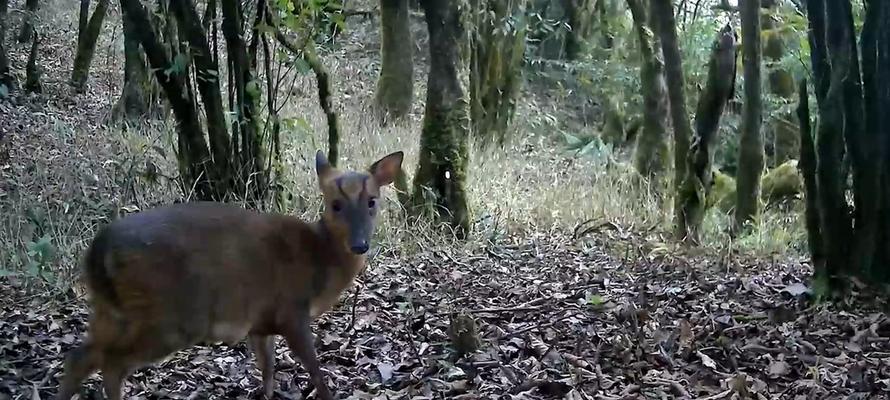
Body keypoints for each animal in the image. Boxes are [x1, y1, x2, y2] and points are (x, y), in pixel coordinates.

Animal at [55, 151, 402, 400]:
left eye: (372, 201)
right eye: (335, 204)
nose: (359, 244)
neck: (321, 260)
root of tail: (98, 251)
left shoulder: (262, 321)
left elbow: (267, 368)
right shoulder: (292, 310)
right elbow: (315, 371)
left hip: (110, 310)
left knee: (81, 357)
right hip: (171, 317)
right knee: (111, 363)